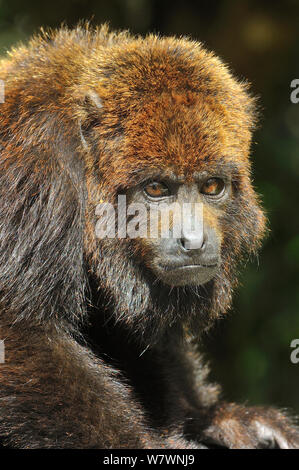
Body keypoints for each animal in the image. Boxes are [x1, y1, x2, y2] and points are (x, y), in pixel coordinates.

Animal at [0, 24, 298, 448]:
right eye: (156, 188)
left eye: (212, 186)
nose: (193, 241)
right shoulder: (38, 170)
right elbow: (20, 330)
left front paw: (216, 418)